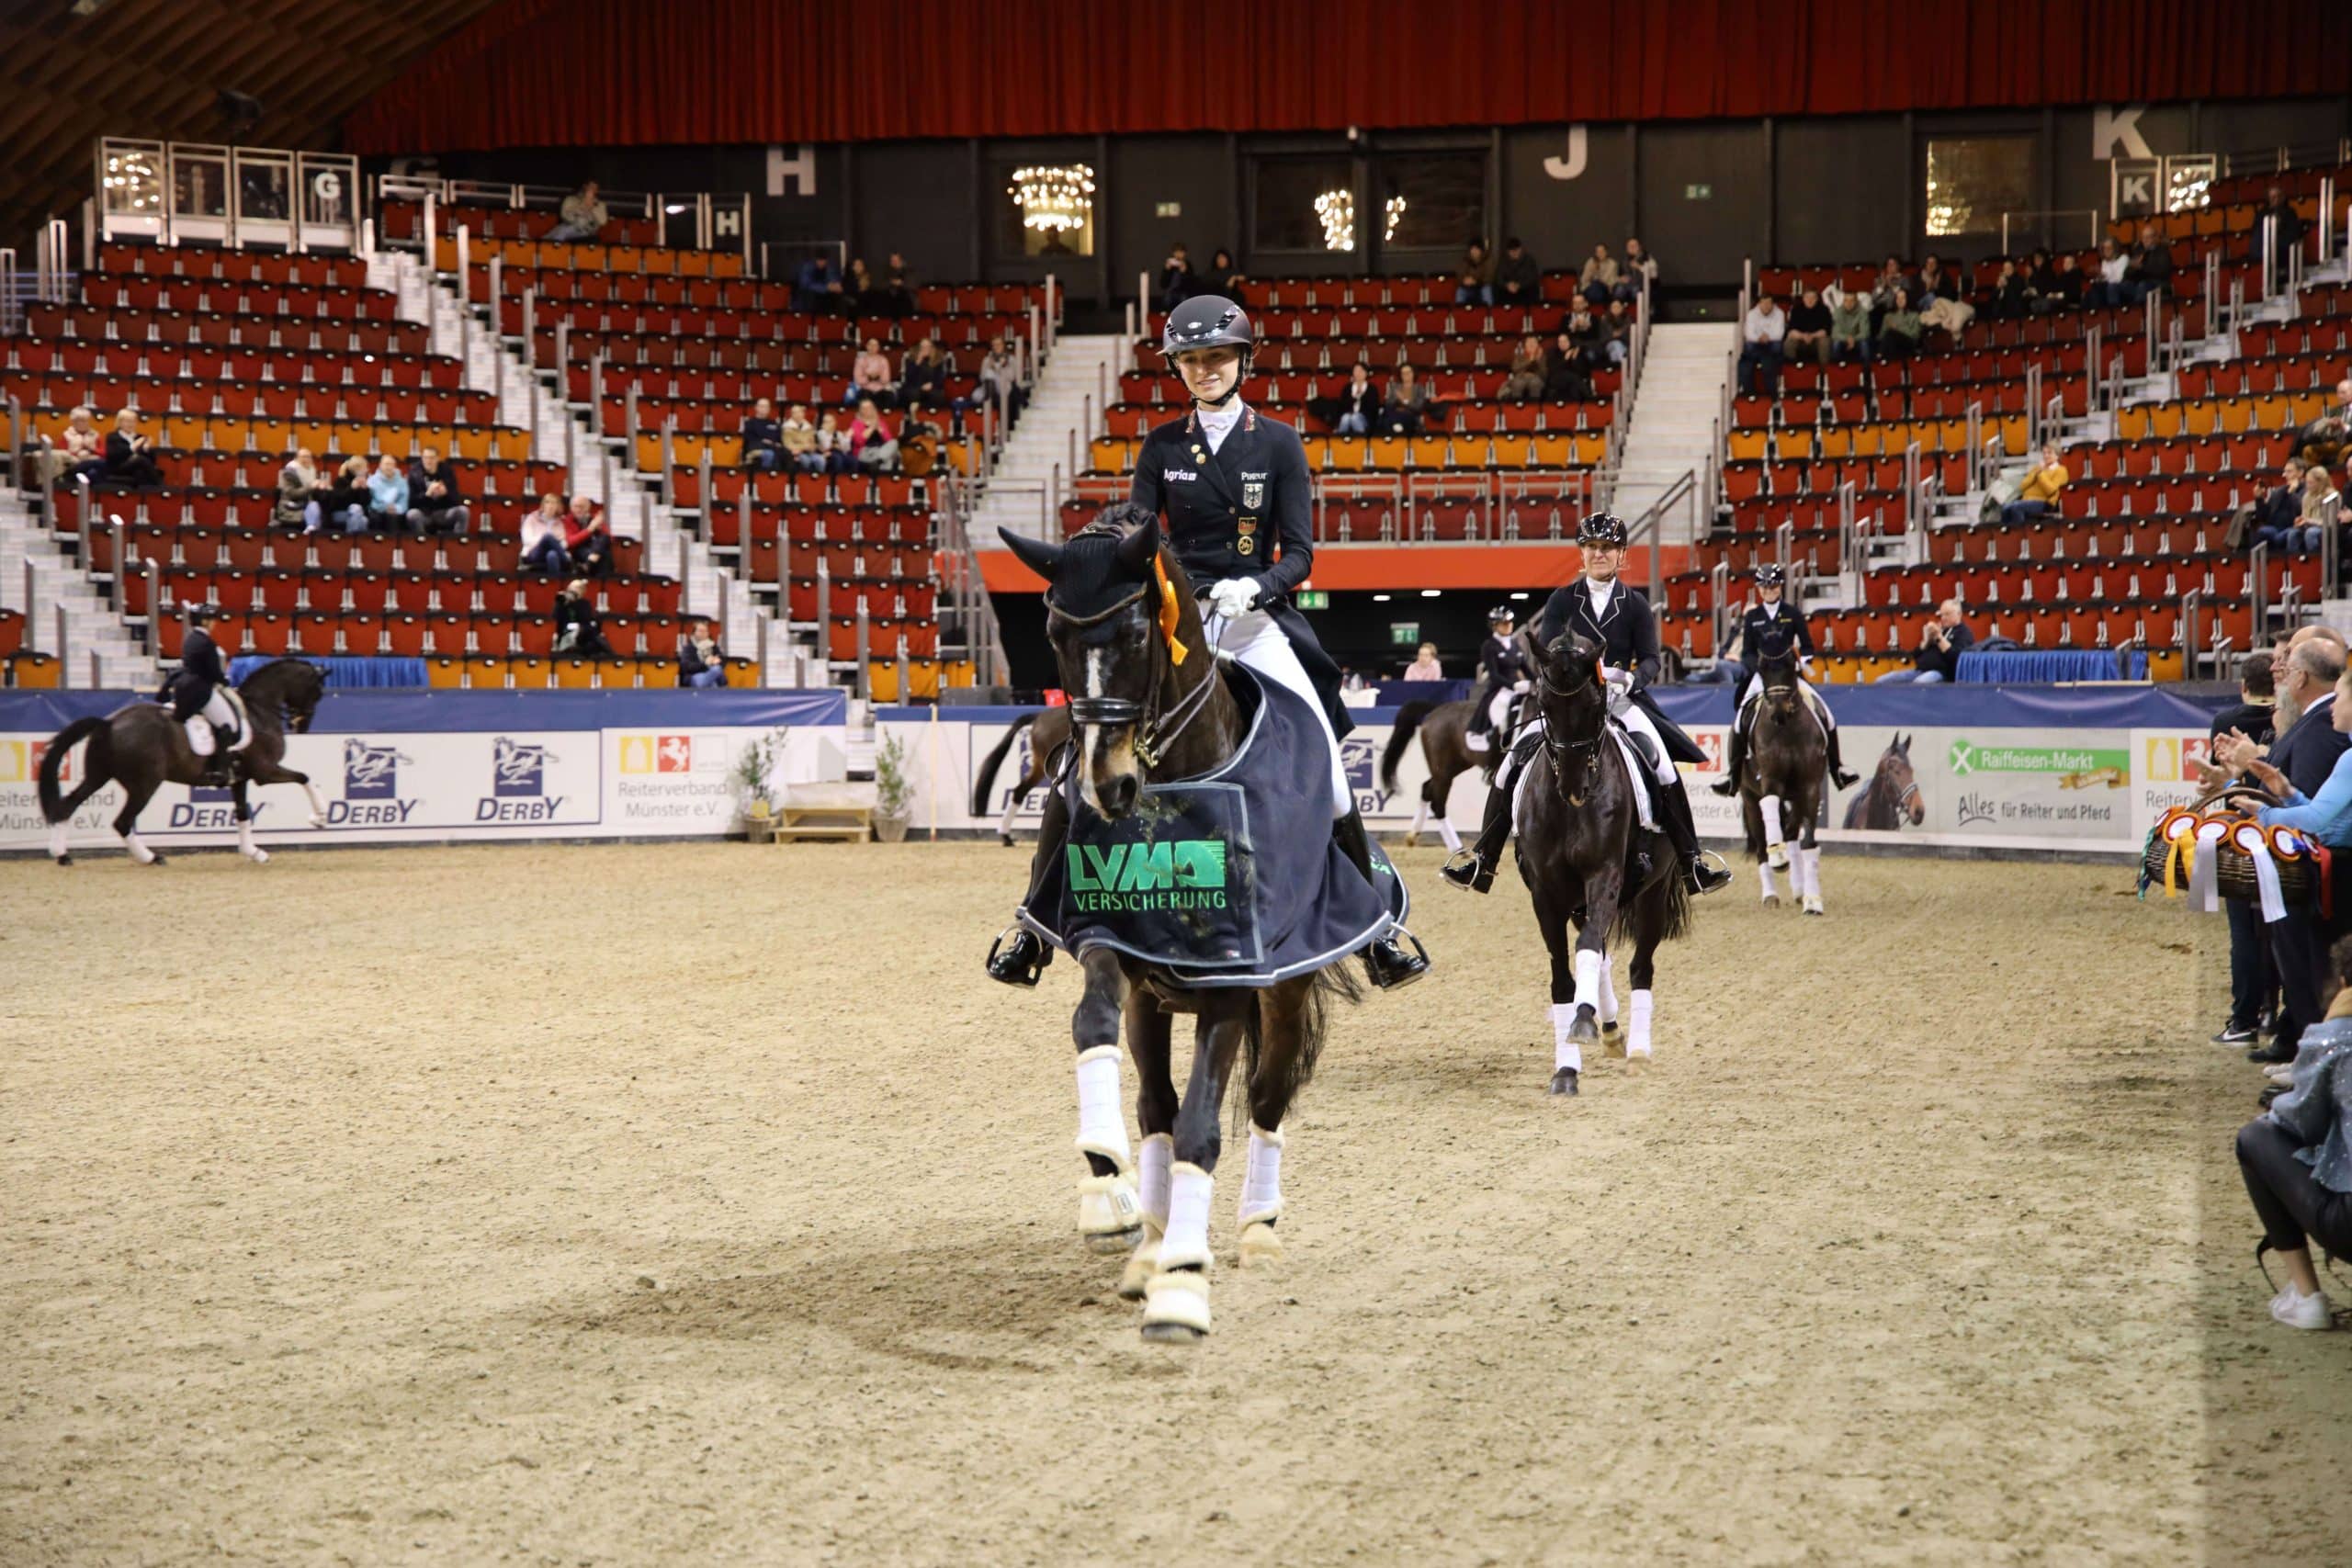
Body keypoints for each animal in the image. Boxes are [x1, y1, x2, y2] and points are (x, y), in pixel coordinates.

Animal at [38, 653, 331, 864]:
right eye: (317, 692)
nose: (302, 725)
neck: (258, 710)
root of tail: (109, 723)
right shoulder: (265, 771)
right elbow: (305, 778)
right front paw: (319, 817)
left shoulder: (240, 778)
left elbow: (242, 814)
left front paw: (254, 852)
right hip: (145, 783)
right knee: (122, 822)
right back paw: (151, 857)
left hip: (98, 775)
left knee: (68, 805)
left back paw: (62, 855)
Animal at [997, 505, 1363, 1354]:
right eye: (1054, 634)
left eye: (1137, 633)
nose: (1108, 787)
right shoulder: (1112, 950)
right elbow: (1095, 1030)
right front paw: (1111, 1189)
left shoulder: (1232, 989)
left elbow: (1204, 1126)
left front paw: (1183, 1288)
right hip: (1154, 1003)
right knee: (1154, 1106)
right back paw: (1151, 1236)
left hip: (1282, 997)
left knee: (1265, 1098)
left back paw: (1255, 1227)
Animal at [1514, 629, 1702, 1100]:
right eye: (1544, 704)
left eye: (1594, 706)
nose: (1574, 787)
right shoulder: (1545, 893)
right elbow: (1562, 975)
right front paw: (1566, 1068)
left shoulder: (1605, 876)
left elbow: (1586, 948)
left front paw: (1583, 1022)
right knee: (1600, 954)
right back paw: (1612, 1029)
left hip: (1652, 894)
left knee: (1639, 966)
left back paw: (1635, 1050)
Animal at [1740, 634, 1825, 907]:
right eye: (1762, 668)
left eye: (1790, 665)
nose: (1778, 712)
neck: (1787, 731)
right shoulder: (1770, 779)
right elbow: (1769, 805)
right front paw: (1777, 857)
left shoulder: (1809, 786)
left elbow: (1808, 841)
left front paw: (1811, 899)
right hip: (1749, 797)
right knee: (1760, 844)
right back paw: (1771, 893)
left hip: (1795, 798)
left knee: (1791, 834)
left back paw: (1798, 889)